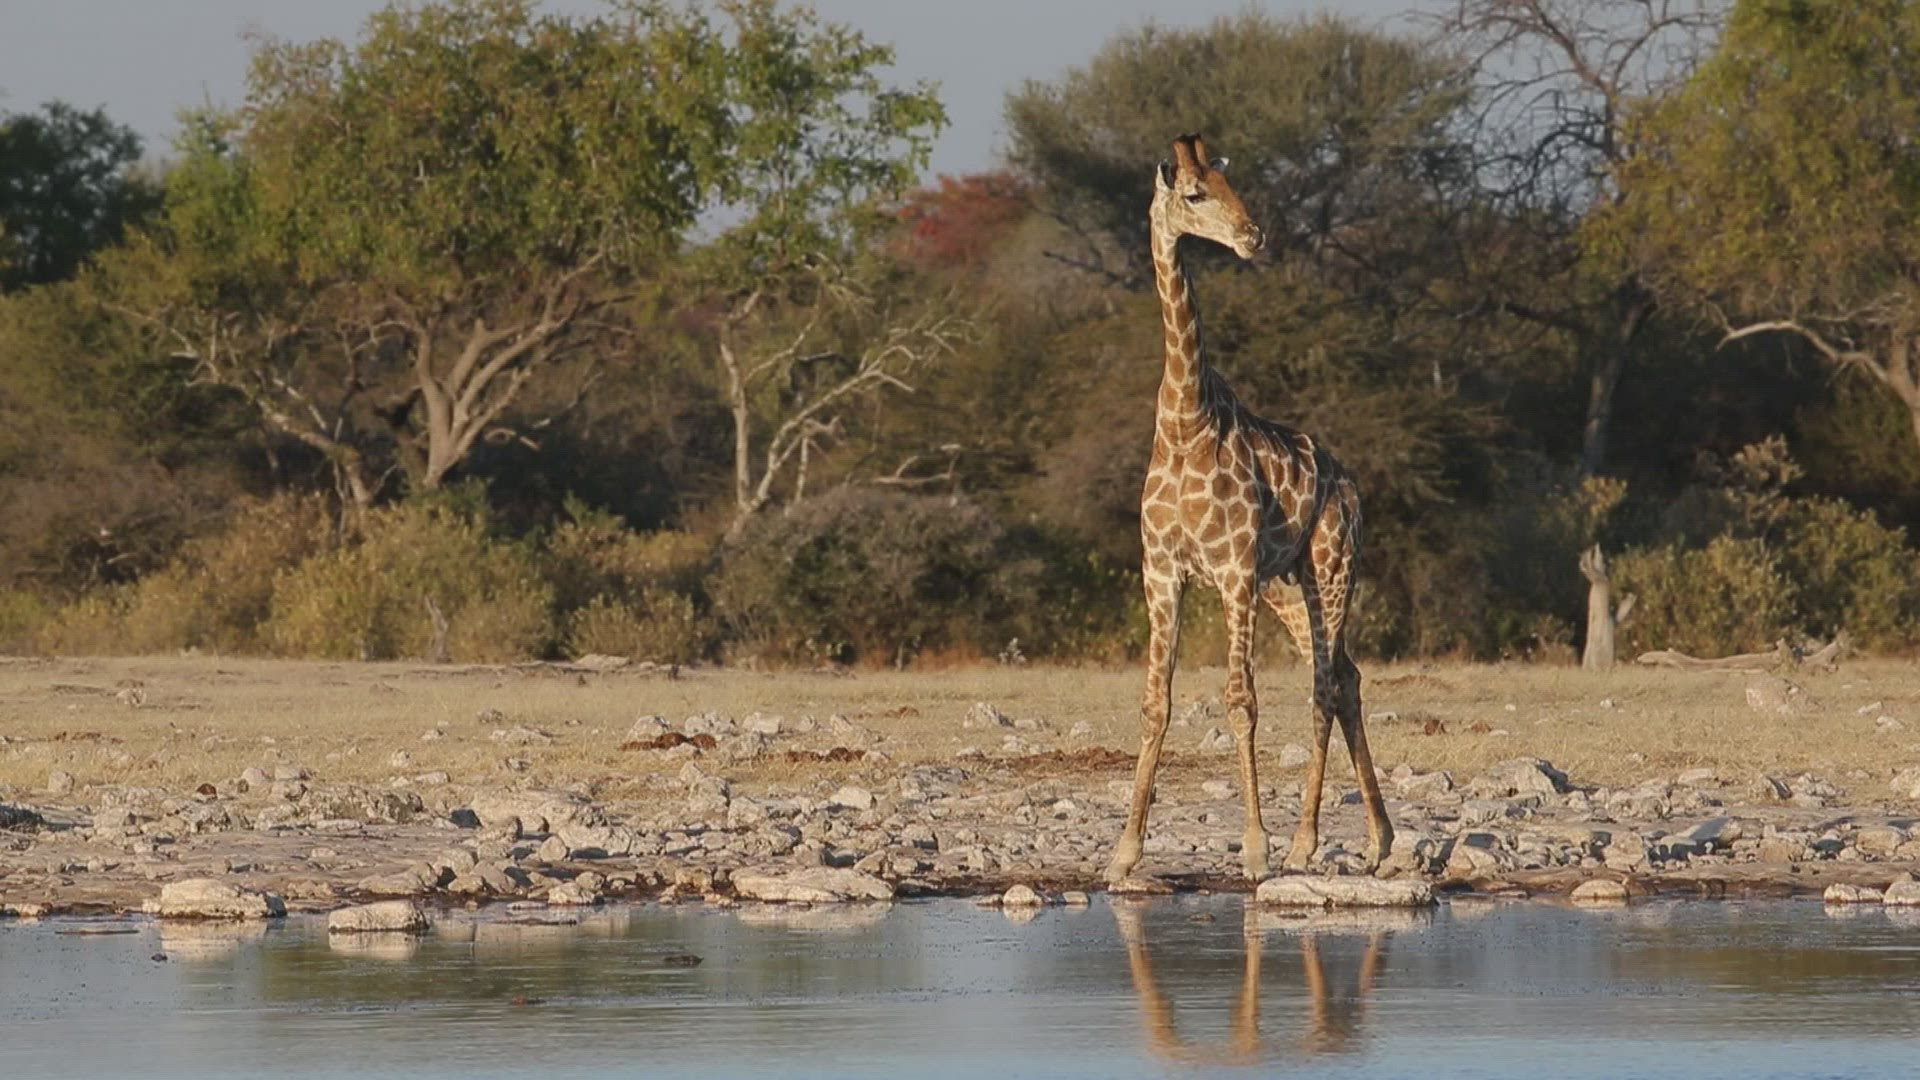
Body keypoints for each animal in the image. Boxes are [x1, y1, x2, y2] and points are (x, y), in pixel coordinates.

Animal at [1105, 134, 1393, 884]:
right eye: (1195, 194)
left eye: (1229, 184)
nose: (1252, 235)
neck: (1185, 422)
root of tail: (1352, 485)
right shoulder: (1162, 573)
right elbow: (1155, 703)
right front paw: (1124, 851)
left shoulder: (1233, 571)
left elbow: (1241, 702)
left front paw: (1257, 848)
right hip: (1288, 589)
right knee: (1346, 676)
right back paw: (1377, 840)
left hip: (1331, 569)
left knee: (1326, 684)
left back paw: (1304, 843)